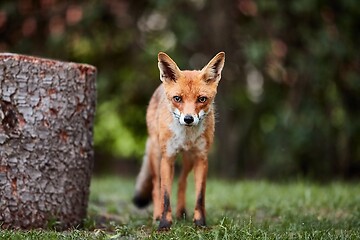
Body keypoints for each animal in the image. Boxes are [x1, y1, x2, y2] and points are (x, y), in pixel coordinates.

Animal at [133, 51, 225, 231]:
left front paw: (200, 223)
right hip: (156, 154)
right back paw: (156, 215)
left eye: (202, 99)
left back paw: (181, 212)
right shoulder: (167, 158)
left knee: (182, 182)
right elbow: (165, 195)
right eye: (177, 98)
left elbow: (200, 196)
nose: (188, 119)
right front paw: (164, 224)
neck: (186, 136)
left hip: (188, 159)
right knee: (156, 186)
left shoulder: (201, 158)